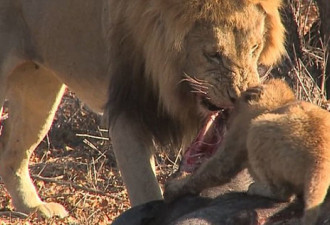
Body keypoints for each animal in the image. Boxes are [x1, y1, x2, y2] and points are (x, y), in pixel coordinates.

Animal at [0, 0, 284, 218]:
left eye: (254, 47)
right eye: (212, 54)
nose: (241, 96)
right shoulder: (126, 110)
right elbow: (145, 187)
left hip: (39, 86)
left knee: (12, 152)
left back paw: (33, 207)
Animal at [165, 78, 330, 225]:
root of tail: (320, 155)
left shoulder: (240, 131)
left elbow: (216, 169)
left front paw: (172, 188)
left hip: (257, 129)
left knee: (283, 193)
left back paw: (256, 188)